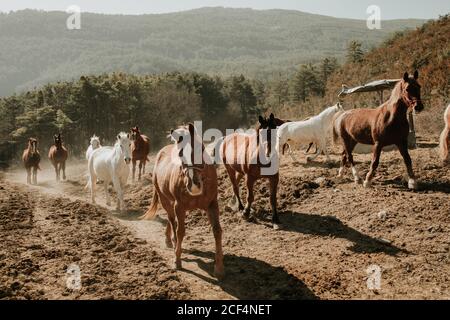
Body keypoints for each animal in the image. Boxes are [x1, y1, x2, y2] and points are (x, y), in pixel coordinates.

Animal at [141, 124, 223, 278]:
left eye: (201, 149)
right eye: (180, 154)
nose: (194, 185)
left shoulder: (212, 205)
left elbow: (217, 231)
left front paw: (219, 268)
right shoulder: (179, 207)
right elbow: (180, 231)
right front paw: (177, 260)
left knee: (170, 219)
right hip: (165, 200)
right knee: (172, 220)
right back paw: (172, 242)